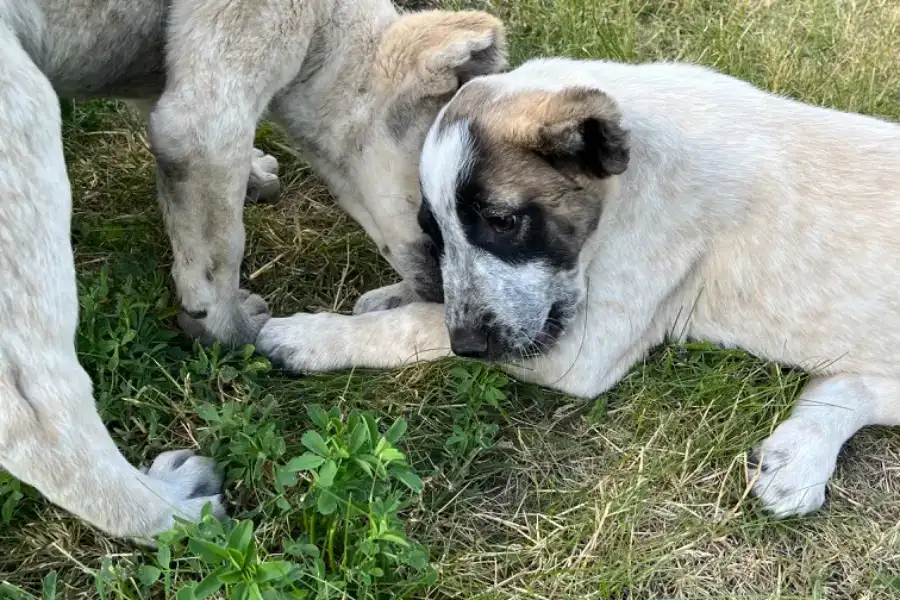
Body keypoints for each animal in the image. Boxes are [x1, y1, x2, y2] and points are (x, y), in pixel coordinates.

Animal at [0, 0, 506, 540]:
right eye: (444, 218)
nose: (449, 307)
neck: (324, 28)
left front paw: (253, 175)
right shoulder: (207, 121)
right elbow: (218, 250)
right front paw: (226, 329)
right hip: (26, 117)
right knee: (35, 414)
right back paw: (172, 512)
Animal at [258, 57, 900, 520]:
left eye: (502, 220)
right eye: (434, 230)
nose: (470, 345)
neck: (626, 180)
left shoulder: (580, 353)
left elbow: (415, 328)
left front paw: (314, 337)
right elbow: (427, 305)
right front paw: (392, 294)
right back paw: (797, 457)